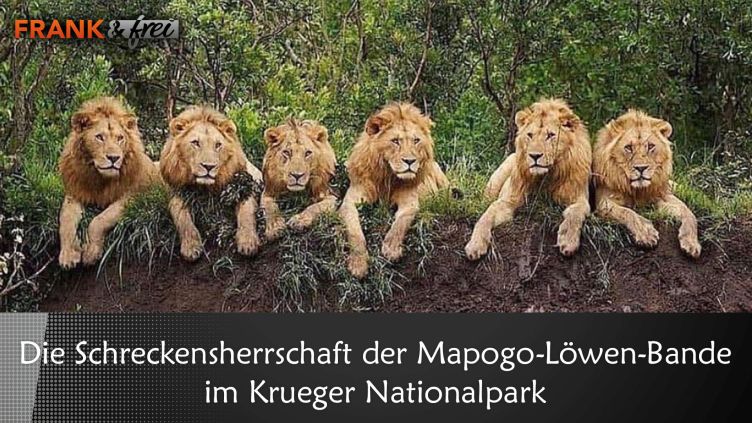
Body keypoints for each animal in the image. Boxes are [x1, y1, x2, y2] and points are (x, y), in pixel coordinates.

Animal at [58, 96, 159, 269]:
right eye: (99, 137)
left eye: (120, 138)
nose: (114, 158)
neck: (99, 179)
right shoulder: (75, 194)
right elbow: (66, 220)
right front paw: (68, 255)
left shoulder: (134, 197)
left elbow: (99, 220)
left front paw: (91, 252)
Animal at [159, 105, 263, 261]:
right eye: (195, 143)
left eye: (218, 145)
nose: (208, 167)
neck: (205, 188)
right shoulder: (175, 193)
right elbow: (182, 217)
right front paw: (191, 247)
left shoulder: (246, 186)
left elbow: (246, 212)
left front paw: (248, 242)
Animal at [339, 102, 449, 278]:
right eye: (395, 141)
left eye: (416, 140)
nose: (410, 161)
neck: (388, 176)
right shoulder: (350, 201)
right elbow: (354, 232)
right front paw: (358, 264)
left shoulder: (410, 202)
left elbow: (400, 224)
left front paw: (391, 249)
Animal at [465, 98, 592, 260]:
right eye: (530, 135)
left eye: (550, 135)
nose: (534, 156)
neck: (546, 177)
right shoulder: (508, 200)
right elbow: (486, 215)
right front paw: (475, 245)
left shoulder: (579, 199)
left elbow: (575, 214)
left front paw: (568, 241)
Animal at [593, 110, 701, 258]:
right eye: (628, 147)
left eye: (650, 146)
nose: (641, 168)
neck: (638, 190)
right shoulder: (604, 202)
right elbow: (628, 212)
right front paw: (646, 233)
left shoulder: (661, 195)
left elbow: (688, 212)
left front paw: (691, 242)